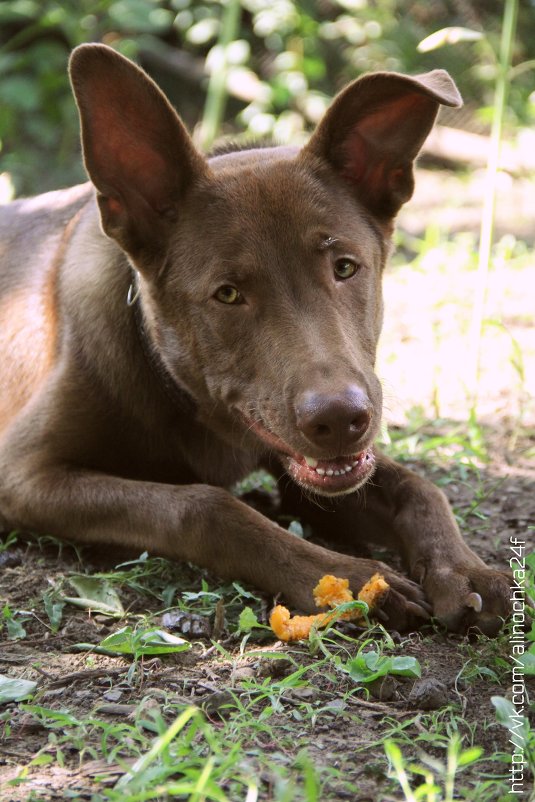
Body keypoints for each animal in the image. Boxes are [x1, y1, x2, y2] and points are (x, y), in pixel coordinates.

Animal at [0, 43, 510, 632]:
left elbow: (419, 486)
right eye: (227, 294)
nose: (341, 420)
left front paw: (463, 569)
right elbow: (204, 505)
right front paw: (353, 580)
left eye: (344, 267)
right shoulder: (22, 474)